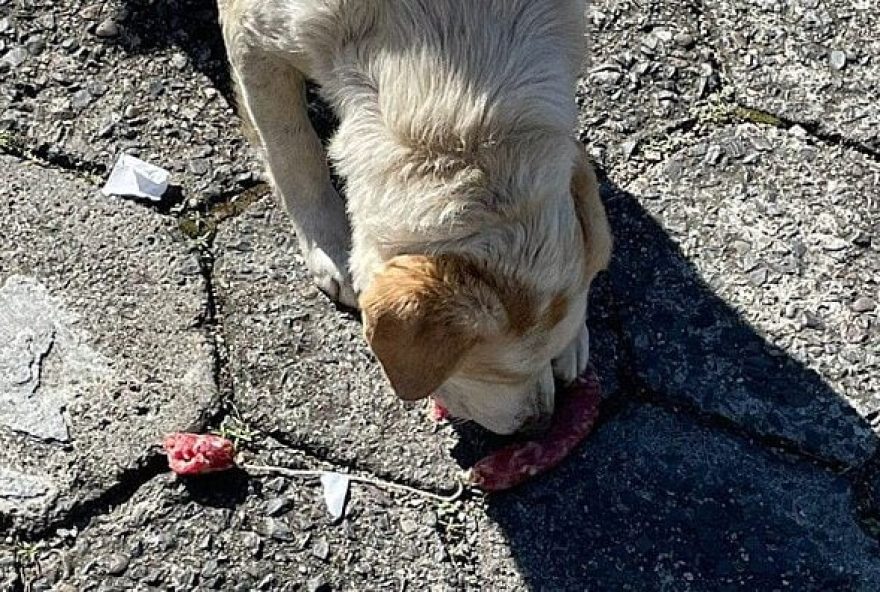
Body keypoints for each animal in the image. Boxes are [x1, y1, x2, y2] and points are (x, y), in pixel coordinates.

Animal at [218, 0, 612, 434]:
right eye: (492, 373)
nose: (539, 424)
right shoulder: (251, 39)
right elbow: (291, 149)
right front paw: (331, 249)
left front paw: (574, 341)